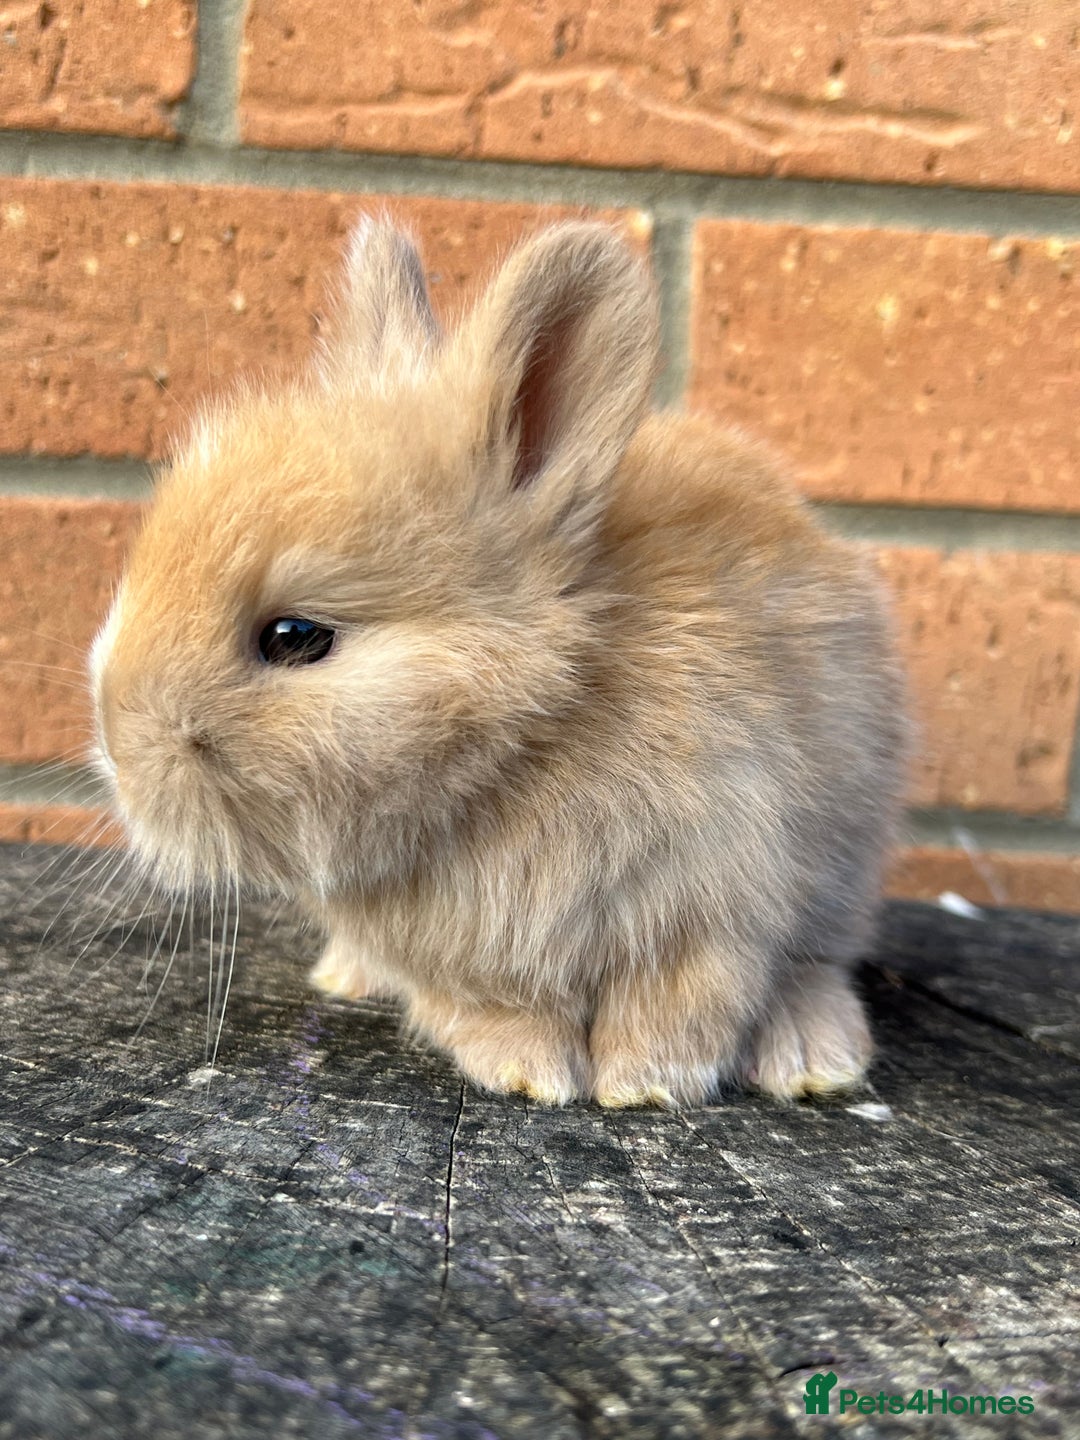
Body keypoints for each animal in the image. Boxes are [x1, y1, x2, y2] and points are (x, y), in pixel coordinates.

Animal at [91, 216, 908, 1108]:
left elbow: (687, 996)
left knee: (816, 962)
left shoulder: (724, 888)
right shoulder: (462, 959)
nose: (118, 753)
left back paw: (813, 1059)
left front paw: (647, 1082)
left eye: (295, 636)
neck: (522, 749)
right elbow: (491, 1003)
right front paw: (530, 1071)